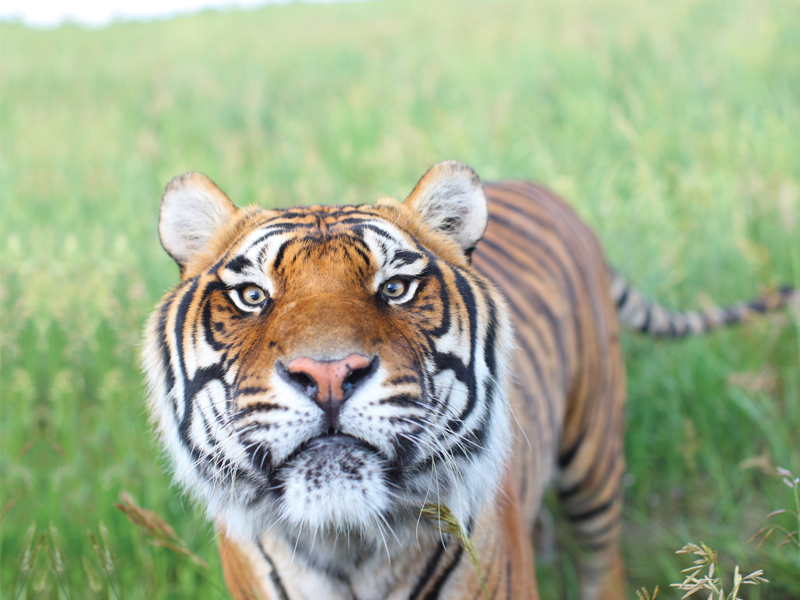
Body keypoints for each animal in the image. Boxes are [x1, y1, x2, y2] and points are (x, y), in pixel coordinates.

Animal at [142, 161, 792, 600]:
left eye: (395, 288)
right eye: (252, 296)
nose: (329, 374)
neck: (347, 544)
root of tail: (542, 188)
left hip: (594, 455)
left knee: (601, 557)